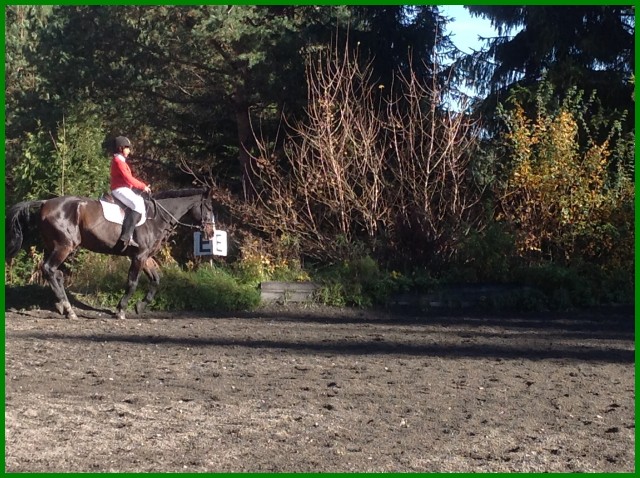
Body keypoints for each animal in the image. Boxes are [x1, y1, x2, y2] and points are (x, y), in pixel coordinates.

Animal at [6, 188, 215, 320]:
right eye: (209, 208)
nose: (212, 233)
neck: (155, 218)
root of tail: (45, 202)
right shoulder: (139, 256)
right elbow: (132, 283)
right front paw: (121, 310)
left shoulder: (145, 257)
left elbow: (156, 280)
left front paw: (140, 306)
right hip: (64, 246)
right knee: (49, 269)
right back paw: (68, 310)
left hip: (55, 246)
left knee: (55, 273)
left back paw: (62, 306)